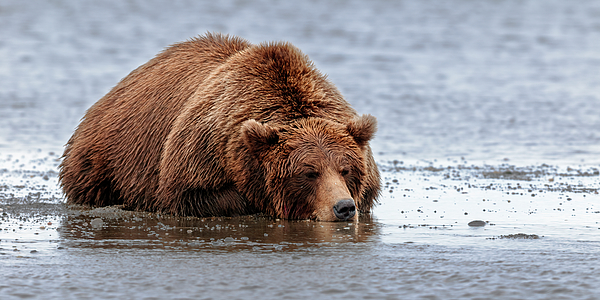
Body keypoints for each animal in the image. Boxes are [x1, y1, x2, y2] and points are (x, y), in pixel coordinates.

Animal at [59, 32, 380, 221]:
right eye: (309, 172)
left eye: (345, 169)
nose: (343, 207)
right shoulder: (202, 150)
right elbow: (190, 194)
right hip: (104, 160)